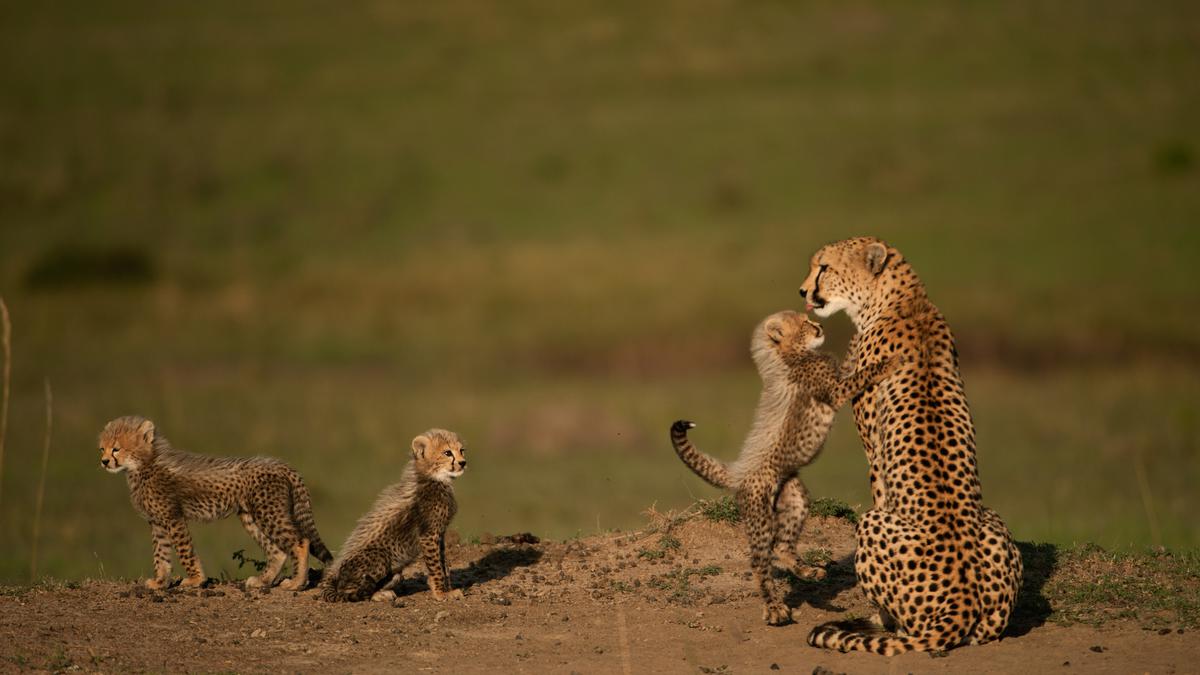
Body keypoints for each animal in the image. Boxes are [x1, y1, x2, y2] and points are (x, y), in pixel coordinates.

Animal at [796, 236, 1022, 653]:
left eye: (824, 267)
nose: (803, 292)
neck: (904, 302)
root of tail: (963, 605)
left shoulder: (873, 451)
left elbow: (879, 489)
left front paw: (875, 616)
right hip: (993, 525)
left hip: (870, 524)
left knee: (906, 629)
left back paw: (878, 622)